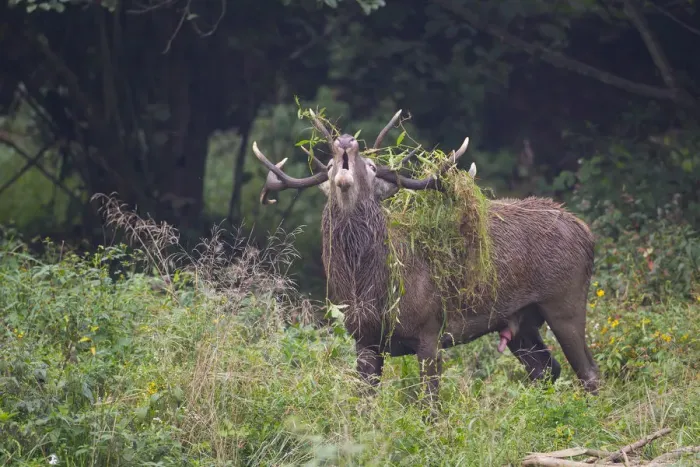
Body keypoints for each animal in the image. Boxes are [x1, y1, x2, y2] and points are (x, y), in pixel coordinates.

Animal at [251, 110, 600, 399]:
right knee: (546, 368)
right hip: (521, 322)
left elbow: (430, 405)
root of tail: (586, 232)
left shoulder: (429, 330)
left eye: (372, 167)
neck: (369, 288)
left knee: (589, 372)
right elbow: (364, 403)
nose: (346, 140)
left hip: (565, 300)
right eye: (328, 167)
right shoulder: (363, 338)